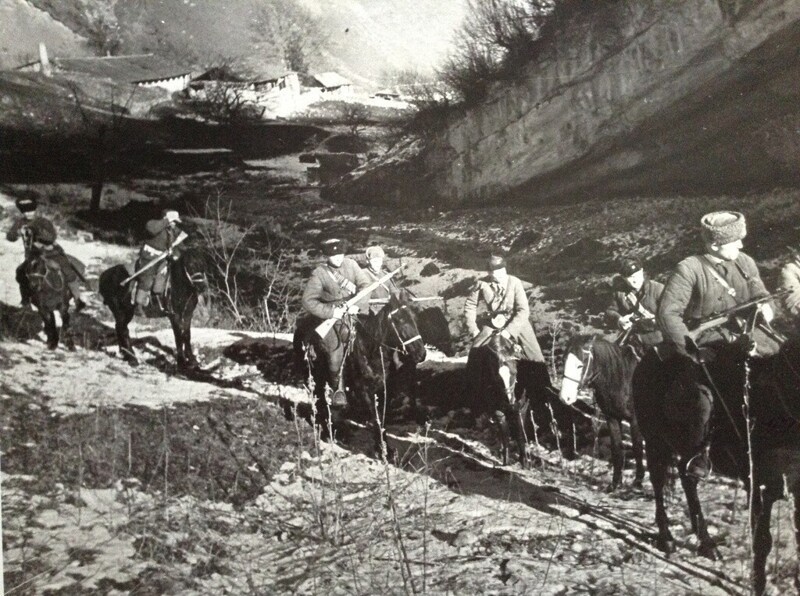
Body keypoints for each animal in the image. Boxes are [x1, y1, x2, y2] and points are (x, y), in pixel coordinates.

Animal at [294, 290, 428, 456]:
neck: (370, 349)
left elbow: (381, 418)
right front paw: (383, 450)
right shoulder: (364, 391)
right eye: (399, 320)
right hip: (311, 377)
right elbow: (376, 419)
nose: (421, 354)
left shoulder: (382, 390)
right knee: (319, 402)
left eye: (415, 318)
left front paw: (384, 447)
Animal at [462, 332, 532, 468]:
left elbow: (519, 431)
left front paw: (524, 460)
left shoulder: (521, 405)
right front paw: (506, 459)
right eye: (496, 377)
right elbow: (504, 432)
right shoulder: (496, 408)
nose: (510, 403)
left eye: (515, 372)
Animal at [560, 332, 648, 492]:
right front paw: (615, 483)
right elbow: (616, 448)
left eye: (580, 365)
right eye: (564, 361)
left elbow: (637, 447)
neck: (623, 378)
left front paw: (638, 480)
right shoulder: (612, 418)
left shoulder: (635, 420)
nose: (565, 397)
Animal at [632, 338, 800, 592]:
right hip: (655, 441)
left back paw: (706, 544)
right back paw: (666, 538)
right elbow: (761, 542)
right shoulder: (757, 485)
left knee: (687, 478)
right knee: (659, 482)